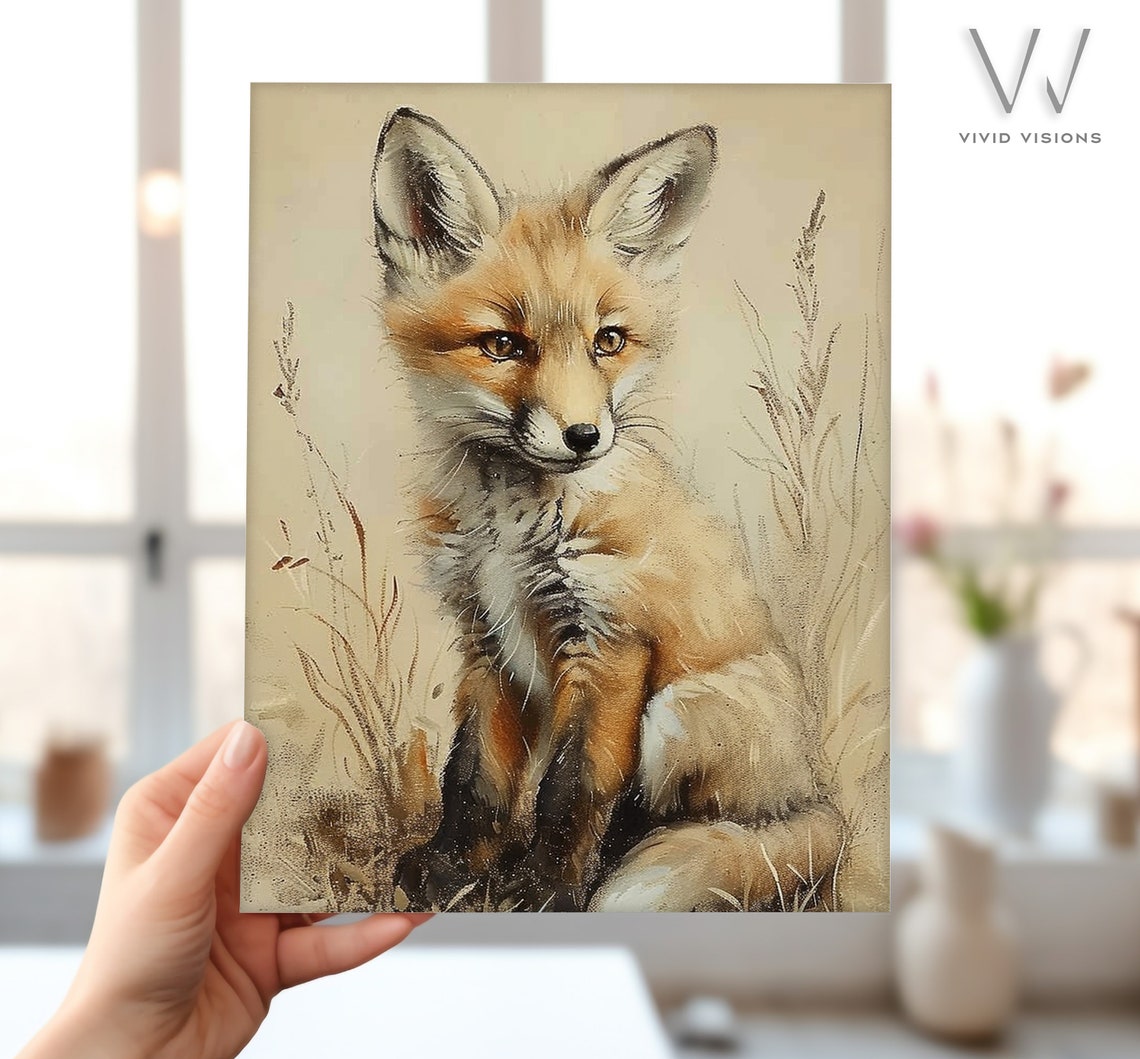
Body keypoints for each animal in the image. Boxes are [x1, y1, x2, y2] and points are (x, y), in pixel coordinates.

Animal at [371, 107, 843, 912]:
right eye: (503, 344)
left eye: (608, 340)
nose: (584, 436)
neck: (512, 532)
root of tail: (814, 796)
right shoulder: (486, 639)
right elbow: (476, 778)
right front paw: (453, 869)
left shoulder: (614, 640)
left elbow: (575, 785)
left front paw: (547, 890)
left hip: (681, 710)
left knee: (674, 821)